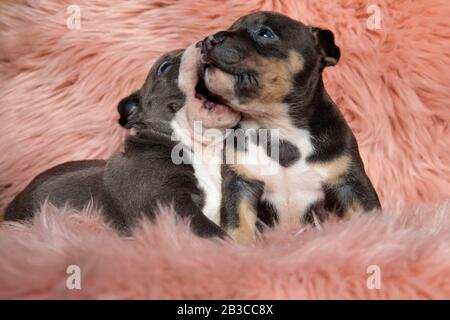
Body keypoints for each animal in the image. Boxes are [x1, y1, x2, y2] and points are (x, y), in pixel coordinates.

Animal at [200, 11, 380, 242]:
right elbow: (238, 225)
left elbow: (369, 215)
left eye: (265, 33)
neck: (278, 126)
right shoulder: (241, 184)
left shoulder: (350, 183)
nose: (208, 40)